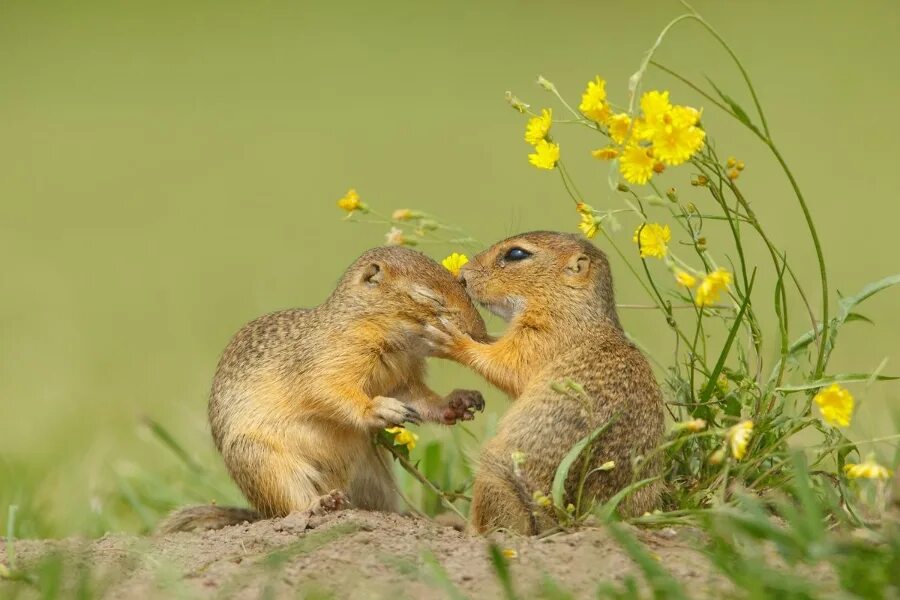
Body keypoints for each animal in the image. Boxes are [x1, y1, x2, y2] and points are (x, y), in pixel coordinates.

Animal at [158, 246, 488, 536]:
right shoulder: (327, 364)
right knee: (290, 506)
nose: (482, 335)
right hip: (264, 463)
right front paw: (380, 408)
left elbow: (422, 399)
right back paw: (323, 503)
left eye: (461, 284)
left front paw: (460, 401)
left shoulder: (403, 380)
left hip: (375, 475)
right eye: (427, 296)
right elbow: (331, 391)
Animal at [426, 231, 664, 536]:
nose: (463, 276)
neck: (570, 304)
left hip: (493, 473)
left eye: (516, 254)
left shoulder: (542, 336)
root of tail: (566, 520)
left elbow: (505, 363)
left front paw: (451, 337)